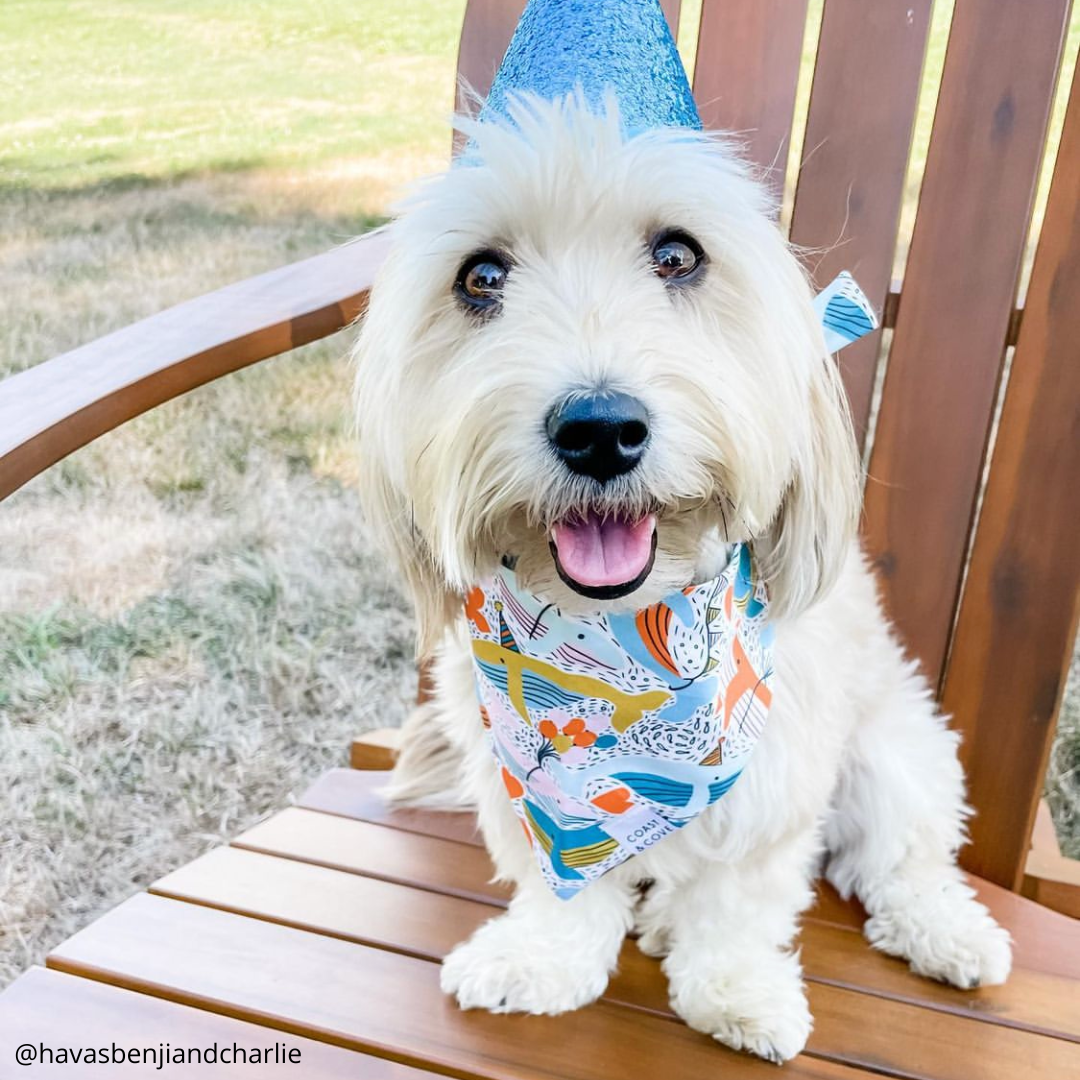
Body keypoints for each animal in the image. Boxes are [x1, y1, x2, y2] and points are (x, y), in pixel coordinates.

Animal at [352, 101, 1010, 1062]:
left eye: (677, 256)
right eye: (482, 275)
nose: (598, 428)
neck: (616, 638)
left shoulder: (776, 771)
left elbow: (741, 897)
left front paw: (736, 991)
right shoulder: (521, 784)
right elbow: (560, 885)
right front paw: (541, 960)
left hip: (898, 756)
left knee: (900, 858)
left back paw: (946, 932)